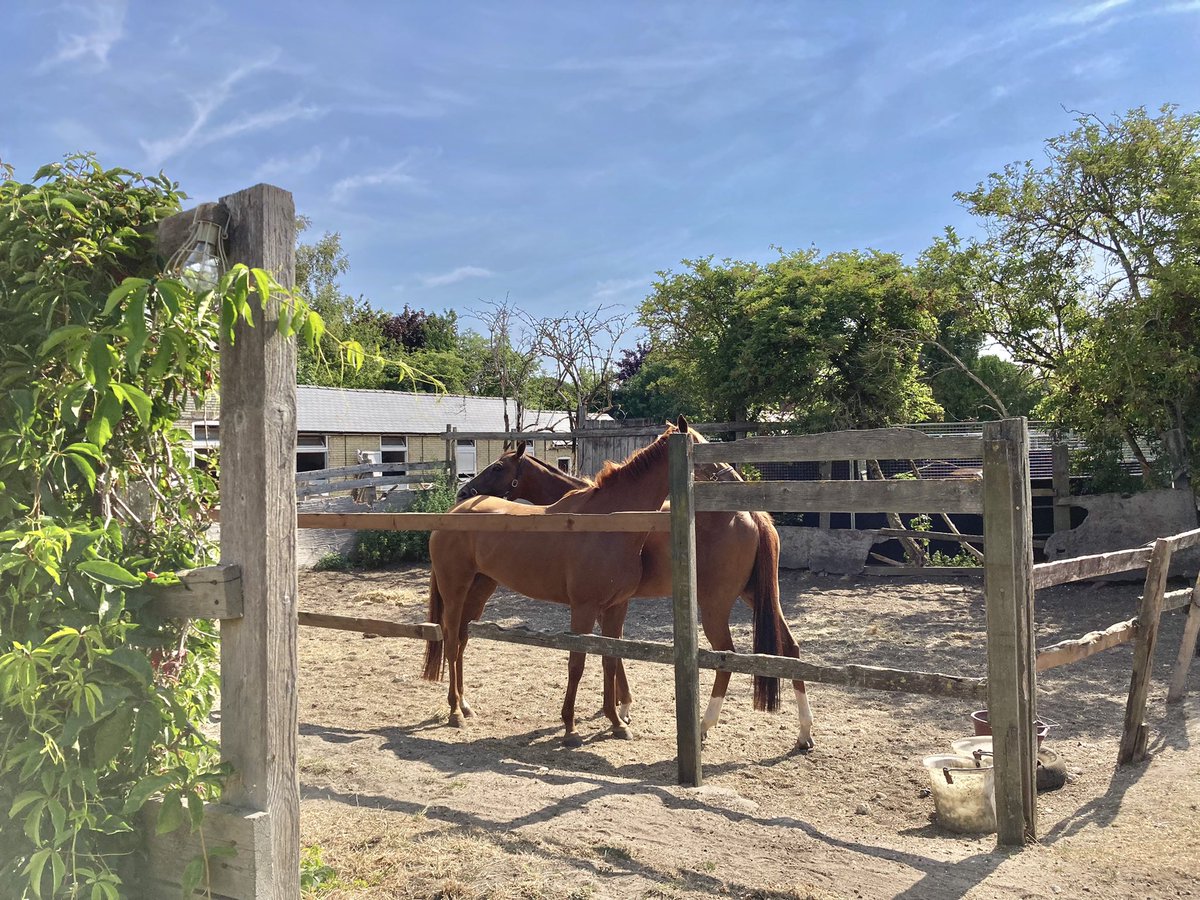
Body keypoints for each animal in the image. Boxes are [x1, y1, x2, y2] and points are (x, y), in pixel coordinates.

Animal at [423, 418, 698, 747]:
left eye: (499, 467)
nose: (465, 491)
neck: (609, 523)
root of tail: (451, 514)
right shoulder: (584, 608)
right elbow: (577, 662)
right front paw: (570, 726)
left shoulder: (616, 606)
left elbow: (610, 658)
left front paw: (617, 721)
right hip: (455, 590)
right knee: (451, 642)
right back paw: (455, 712)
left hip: (479, 590)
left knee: (462, 640)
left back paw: (465, 705)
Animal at [456, 433, 814, 751]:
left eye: (498, 468)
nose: (463, 492)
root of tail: (753, 514)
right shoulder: (610, 605)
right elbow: (613, 653)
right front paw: (620, 707)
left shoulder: (601, 604)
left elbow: (606, 655)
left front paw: (619, 709)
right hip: (758, 597)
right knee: (790, 650)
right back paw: (804, 732)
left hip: (716, 605)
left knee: (726, 656)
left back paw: (704, 725)